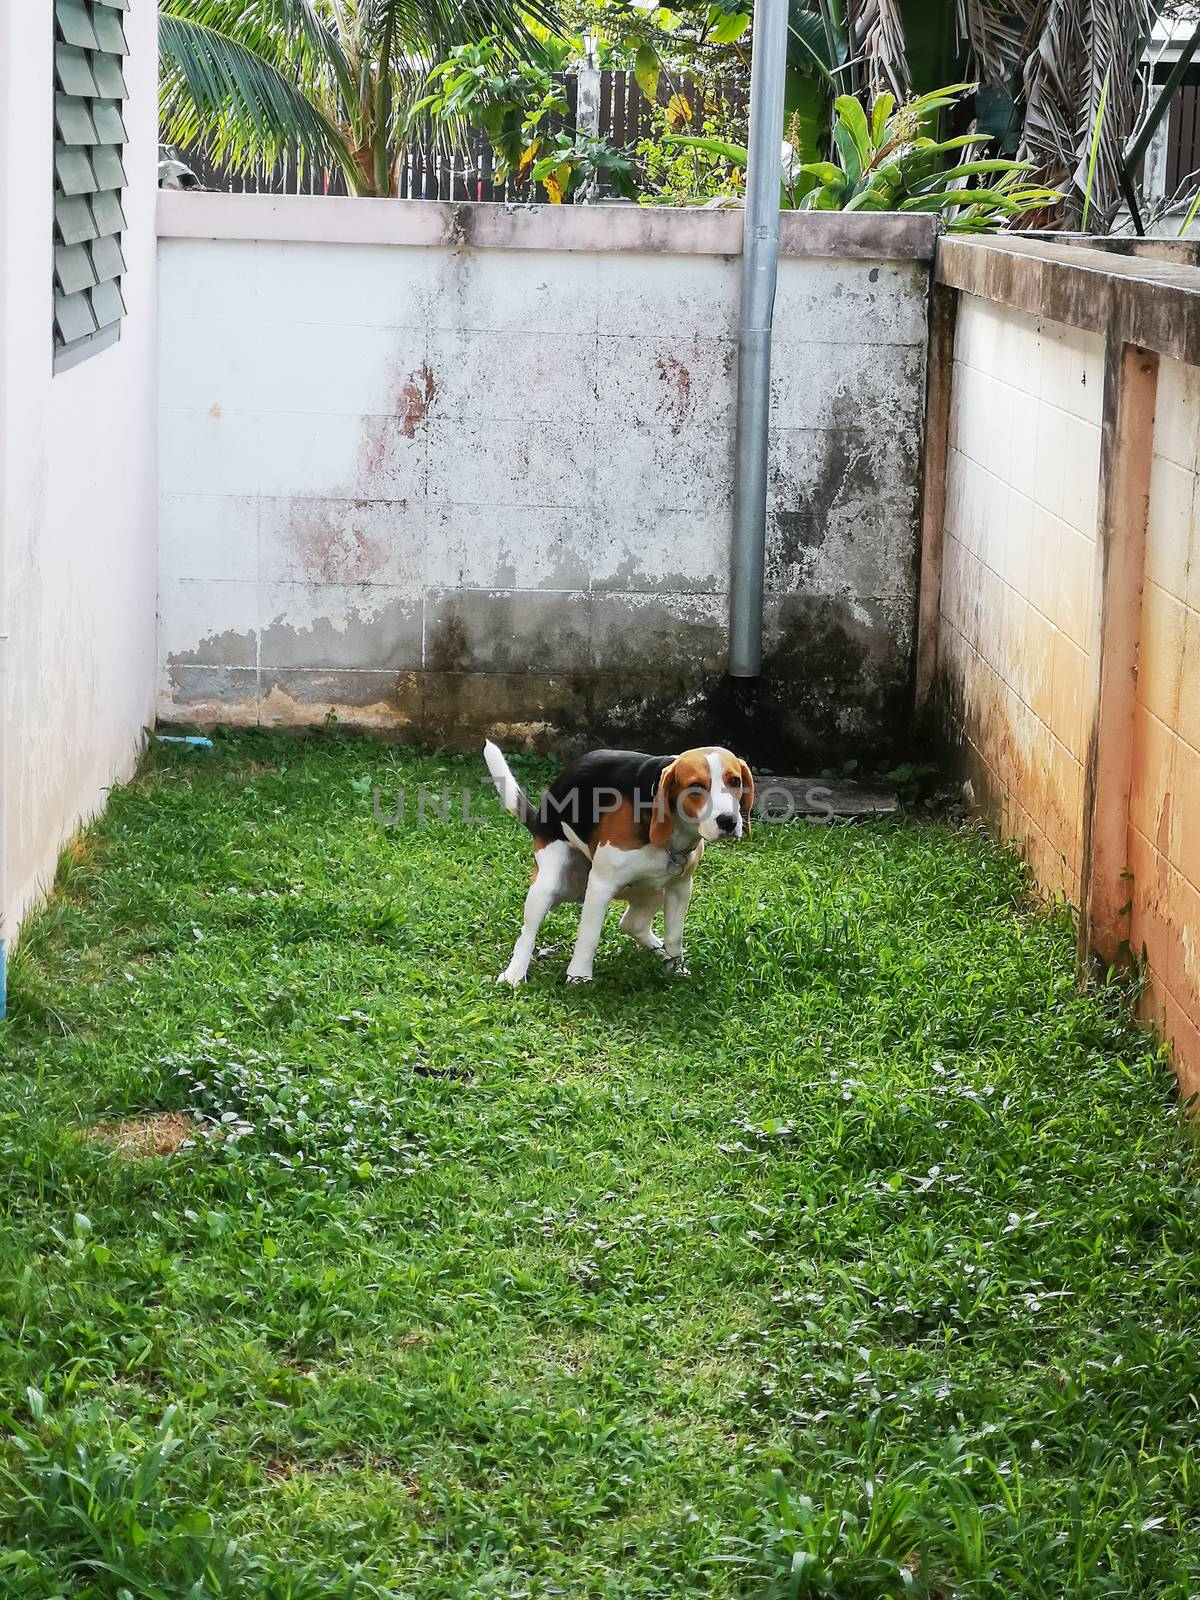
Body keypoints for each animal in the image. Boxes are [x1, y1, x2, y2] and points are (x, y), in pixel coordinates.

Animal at [486, 739, 752, 985]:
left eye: (734, 781)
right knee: (527, 934)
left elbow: (675, 936)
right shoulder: (600, 885)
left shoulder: (681, 887)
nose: (728, 821)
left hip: (654, 889)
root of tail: (539, 818)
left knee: (632, 924)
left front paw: (675, 968)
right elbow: (589, 935)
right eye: (695, 786)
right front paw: (579, 976)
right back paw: (514, 973)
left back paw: (660, 952)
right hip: (549, 883)